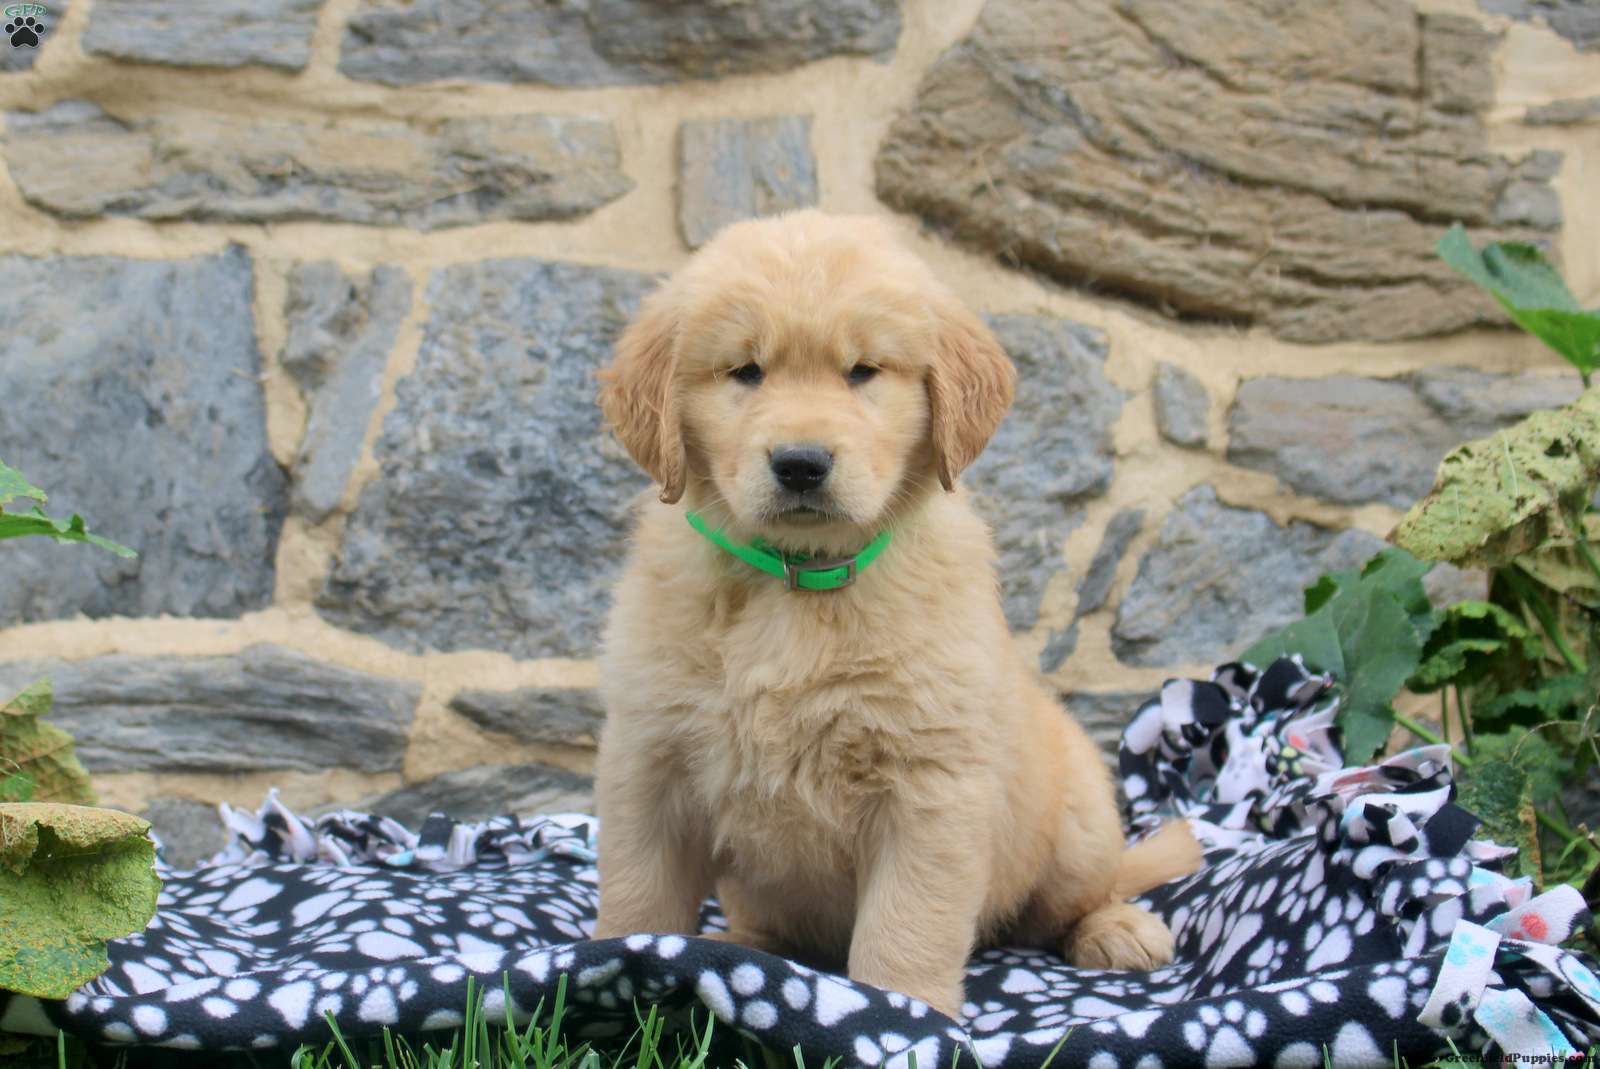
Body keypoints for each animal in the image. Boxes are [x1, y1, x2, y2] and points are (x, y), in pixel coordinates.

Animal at [591, 211, 1200, 1018]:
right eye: (745, 371)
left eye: (863, 371)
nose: (801, 463)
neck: (797, 582)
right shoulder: (650, 759)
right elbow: (639, 891)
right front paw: (618, 965)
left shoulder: (929, 784)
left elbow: (908, 921)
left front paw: (899, 1015)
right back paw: (742, 948)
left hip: (1075, 822)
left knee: (1076, 897)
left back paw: (1116, 928)